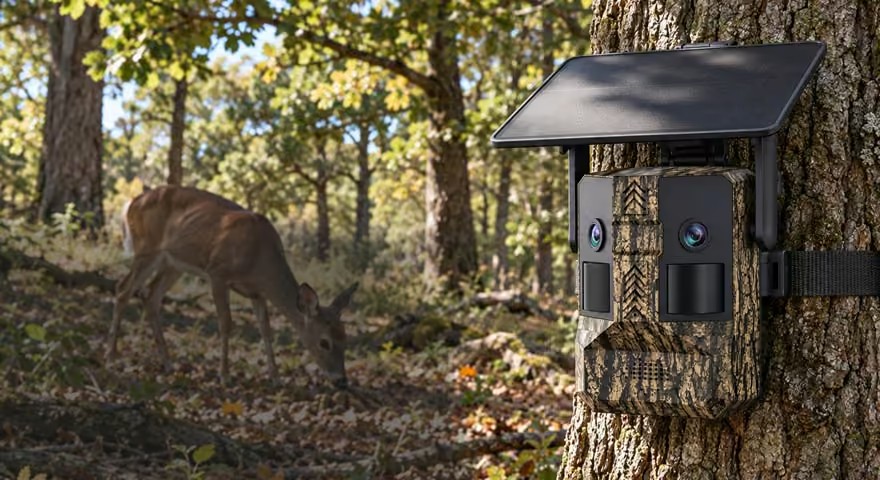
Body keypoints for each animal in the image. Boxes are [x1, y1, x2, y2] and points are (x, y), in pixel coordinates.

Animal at [105, 185, 357, 388]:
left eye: (345, 338)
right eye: (324, 342)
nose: (342, 381)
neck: (259, 259)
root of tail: (132, 202)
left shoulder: (257, 292)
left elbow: (266, 329)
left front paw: (275, 377)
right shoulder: (218, 273)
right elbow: (226, 323)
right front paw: (225, 376)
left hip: (173, 264)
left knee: (151, 296)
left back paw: (167, 363)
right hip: (146, 248)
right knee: (123, 289)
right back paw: (112, 354)